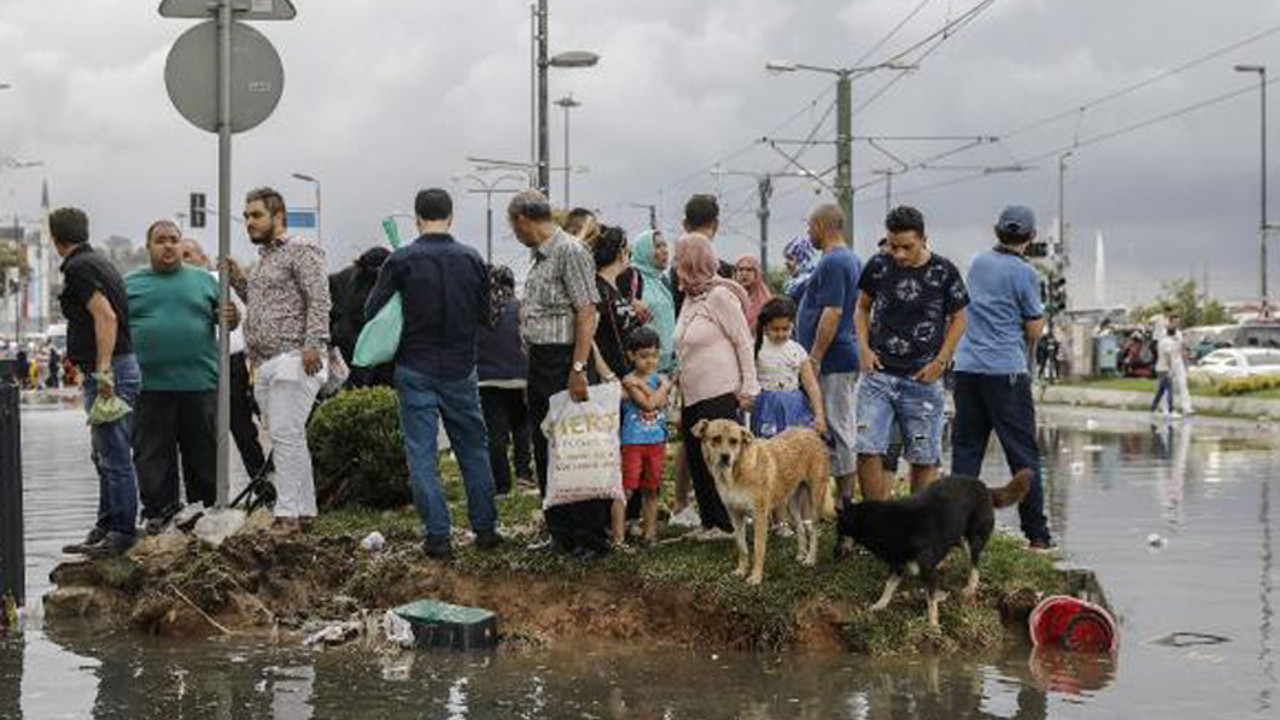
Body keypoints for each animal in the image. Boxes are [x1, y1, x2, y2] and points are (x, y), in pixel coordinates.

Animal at [691, 417, 829, 579]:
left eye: (734, 441)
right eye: (716, 439)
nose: (725, 457)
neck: (736, 473)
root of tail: (810, 432)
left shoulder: (760, 516)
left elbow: (758, 549)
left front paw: (756, 577)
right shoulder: (735, 516)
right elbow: (742, 547)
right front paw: (741, 571)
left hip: (815, 500)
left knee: (813, 530)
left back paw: (810, 559)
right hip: (791, 501)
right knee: (801, 528)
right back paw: (801, 555)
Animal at [834, 468, 1034, 625]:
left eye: (840, 533)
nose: (834, 555)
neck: (888, 524)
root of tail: (985, 487)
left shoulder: (928, 573)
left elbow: (931, 601)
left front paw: (933, 626)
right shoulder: (898, 565)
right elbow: (888, 586)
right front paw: (879, 604)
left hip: (972, 540)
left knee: (975, 565)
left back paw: (970, 587)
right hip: (957, 536)